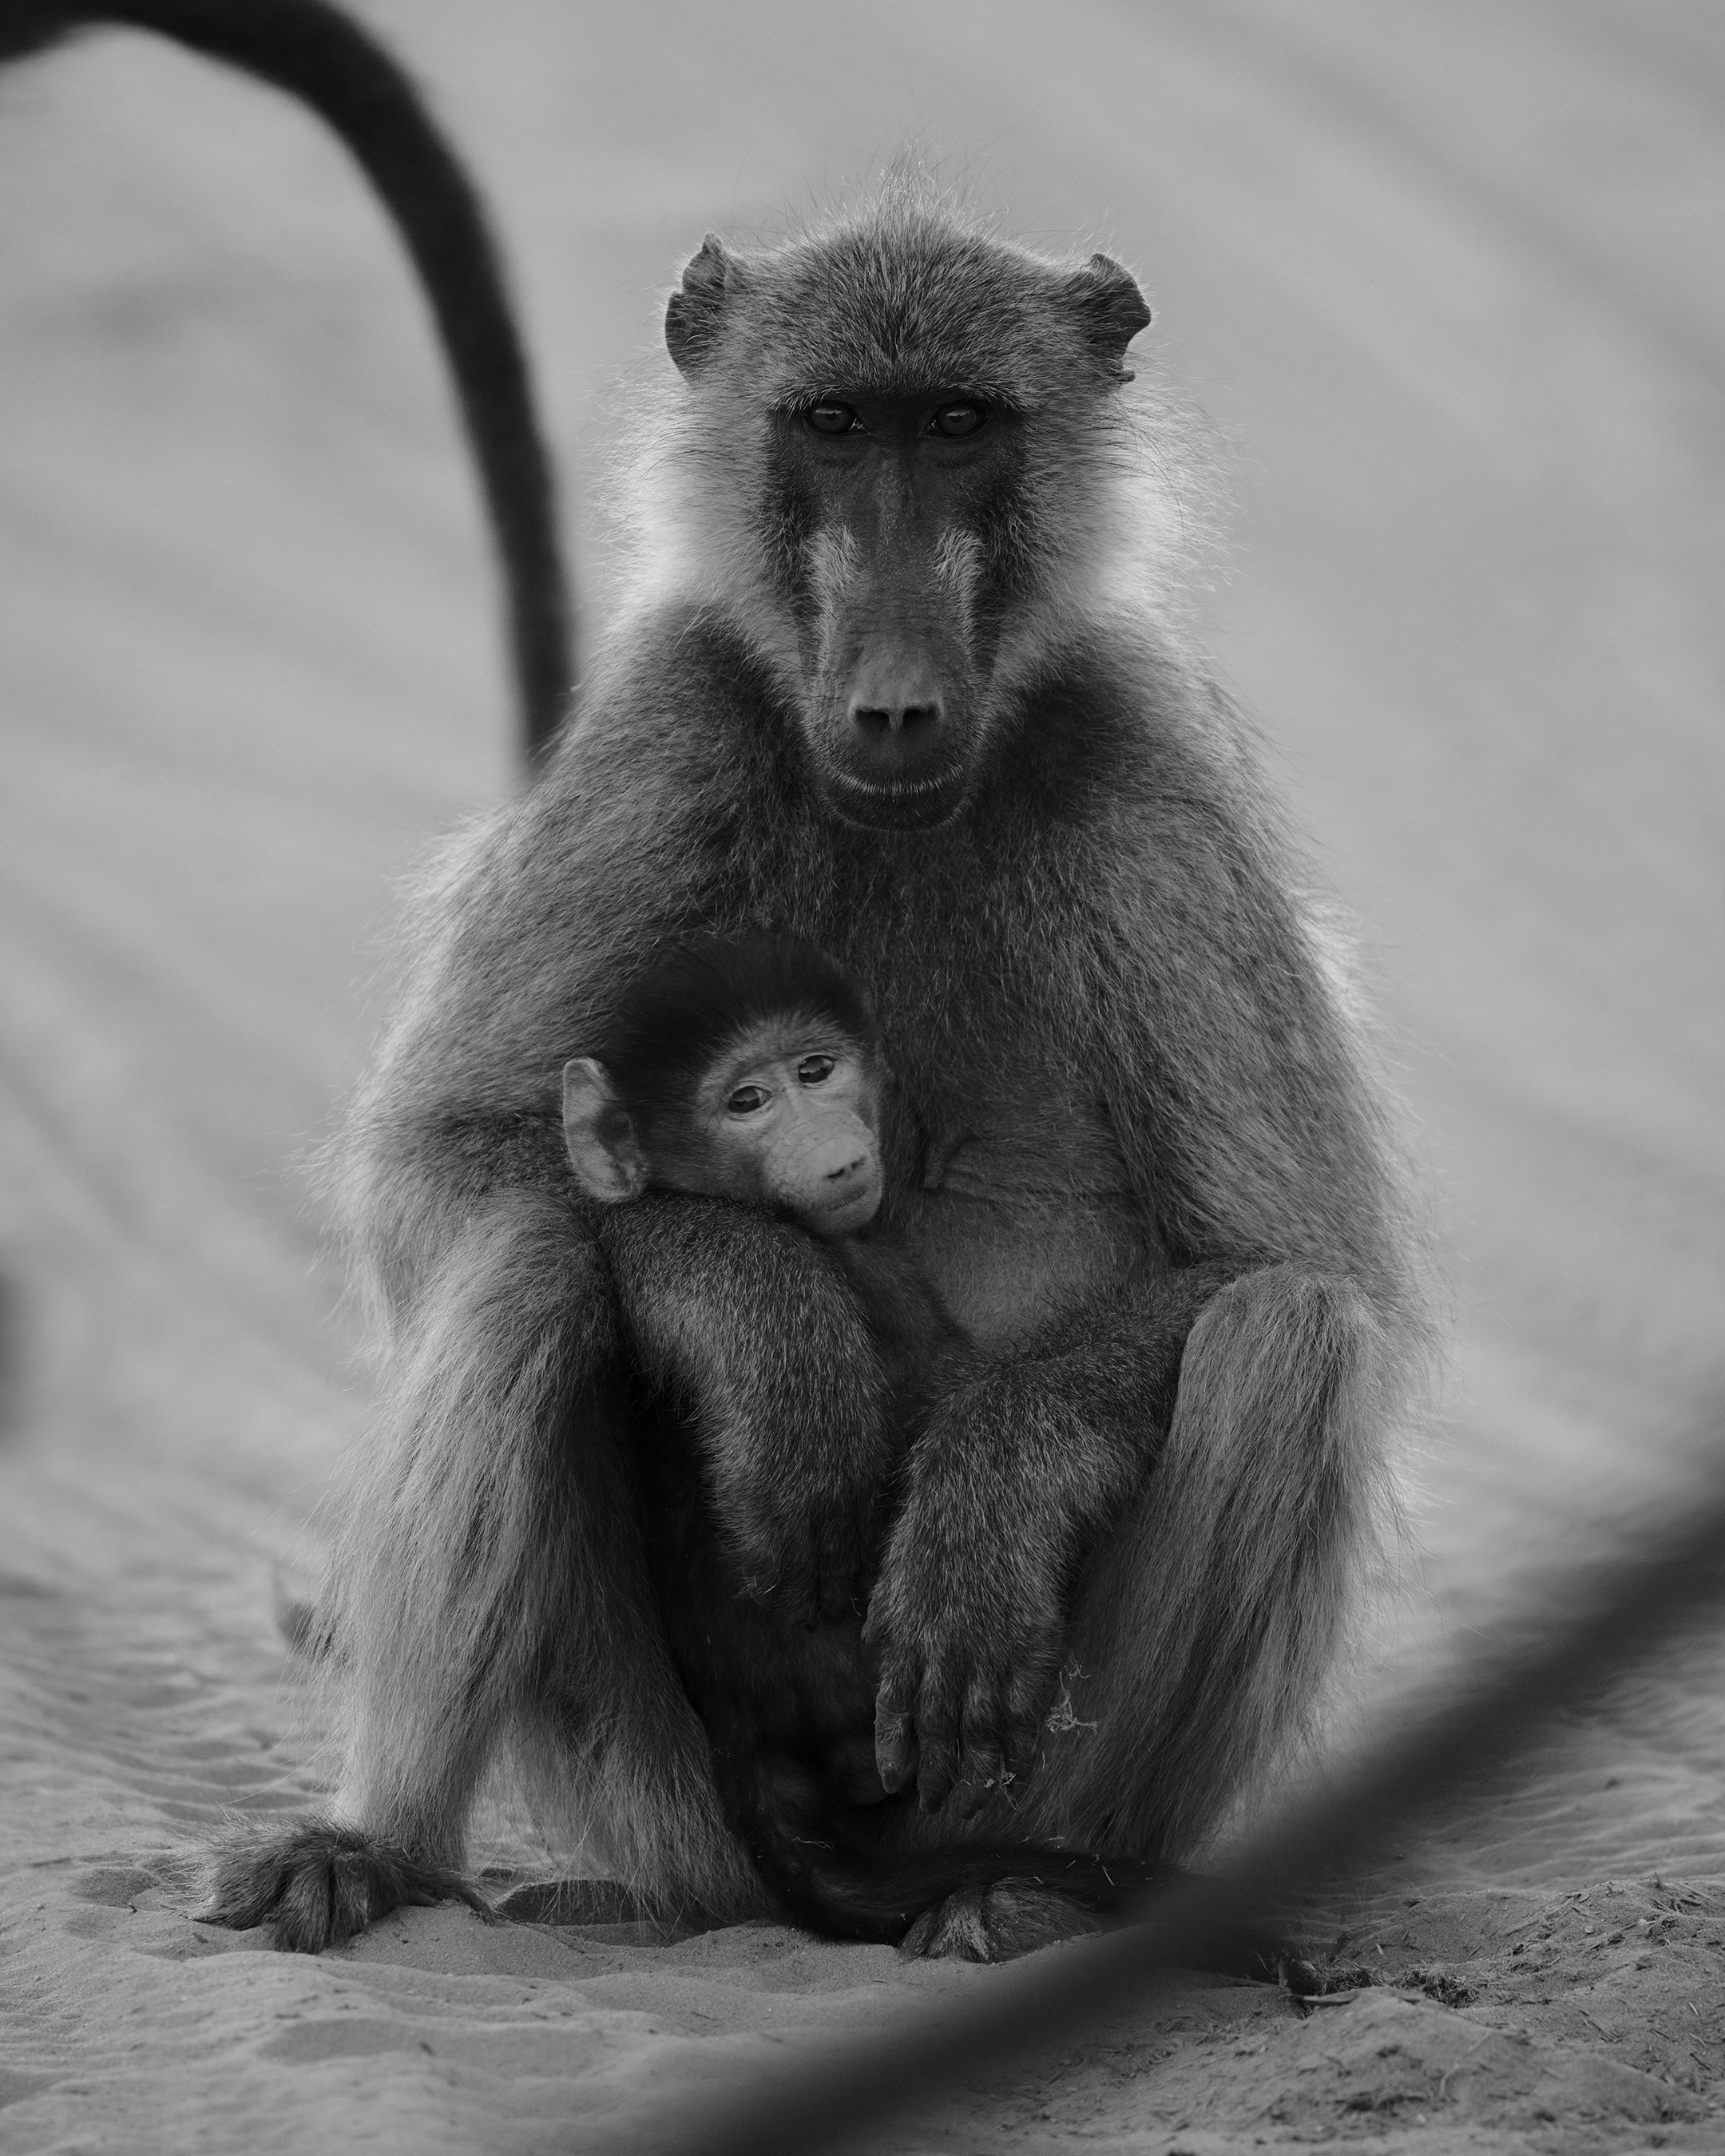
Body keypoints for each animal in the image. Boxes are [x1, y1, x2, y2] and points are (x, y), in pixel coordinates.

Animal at [176, 161, 1429, 1962]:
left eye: (960, 424)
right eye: (833, 424)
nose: (896, 704)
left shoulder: (1147, 772)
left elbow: (1293, 1255)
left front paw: (987, 1499)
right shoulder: (669, 724)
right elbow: (453, 1157)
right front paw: (765, 1329)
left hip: (990, 1780)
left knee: (1286, 1342)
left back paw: (1030, 1894)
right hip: (671, 1799)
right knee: (530, 1265)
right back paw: (380, 1847)